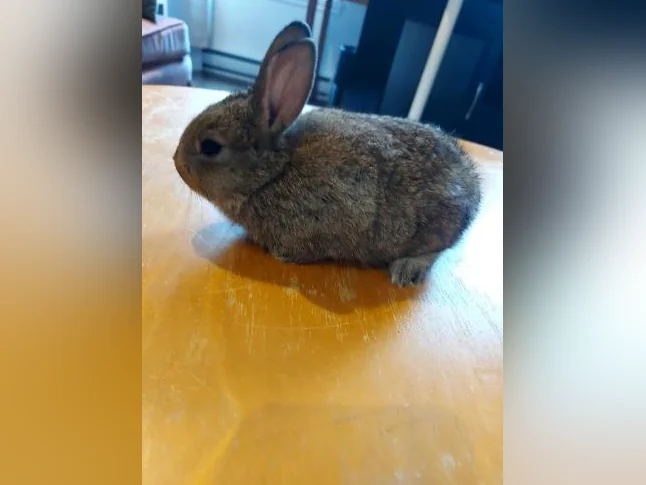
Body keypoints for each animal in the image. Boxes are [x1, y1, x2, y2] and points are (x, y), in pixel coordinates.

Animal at [173, 21, 482, 287]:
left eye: (210, 147)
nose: (177, 162)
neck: (272, 175)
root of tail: (472, 186)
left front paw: (283, 255)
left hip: (435, 226)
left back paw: (407, 270)